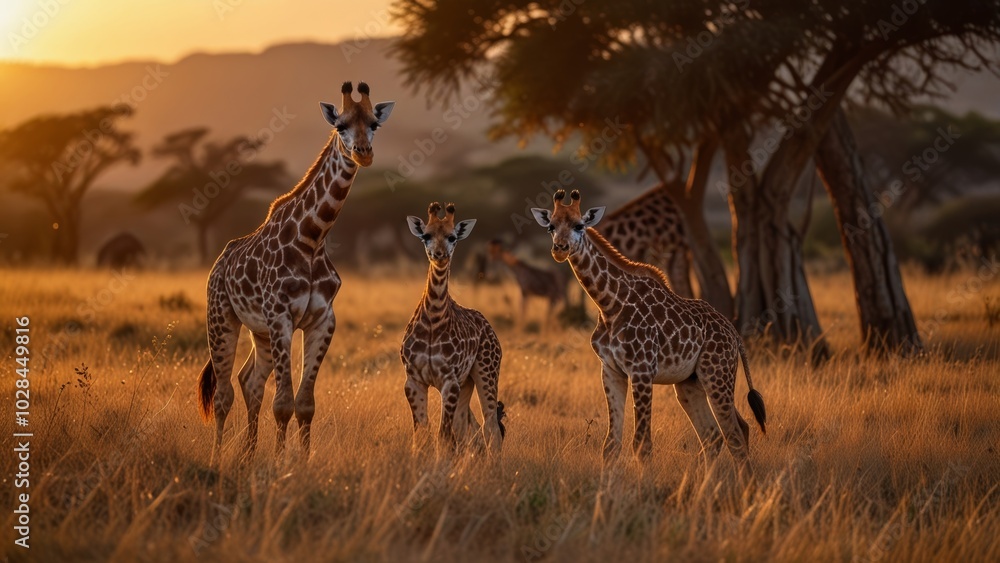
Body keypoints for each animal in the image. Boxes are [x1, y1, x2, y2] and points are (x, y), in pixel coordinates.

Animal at [197, 81, 395, 463]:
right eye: (340, 126)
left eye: (374, 124)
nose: (363, 153)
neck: (313, 238)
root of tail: (219, 262)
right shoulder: (281, 317)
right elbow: (283, 403)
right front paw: (279, 462)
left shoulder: (322, 320)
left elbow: (304, 404)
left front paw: (300, 462)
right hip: (222, 318)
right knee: (224, 393)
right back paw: (217, 457)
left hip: (259, 332)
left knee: (250, 382)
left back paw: (248, 454)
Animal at [400, 203, 505, 455]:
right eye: (426, 236)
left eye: (452, 237)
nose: (439, 255)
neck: (434, 319)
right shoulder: (413, 380)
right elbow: (422, 434)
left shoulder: (449, 380)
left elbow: (444, 437)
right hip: (466, 382)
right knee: (468, 426)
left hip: (486, 371)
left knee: (490, 425)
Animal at [531, 190, 766, 476]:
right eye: (551, 227)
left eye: (579, 225)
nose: (560, 249)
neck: (608, 305)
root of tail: (734, 334)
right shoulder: (610, 371)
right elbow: (611, 445)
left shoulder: (642, 370)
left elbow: (642, 444)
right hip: (689, 383)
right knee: (714, 434)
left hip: (717, 374)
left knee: (735, 431)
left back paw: (745, 483)